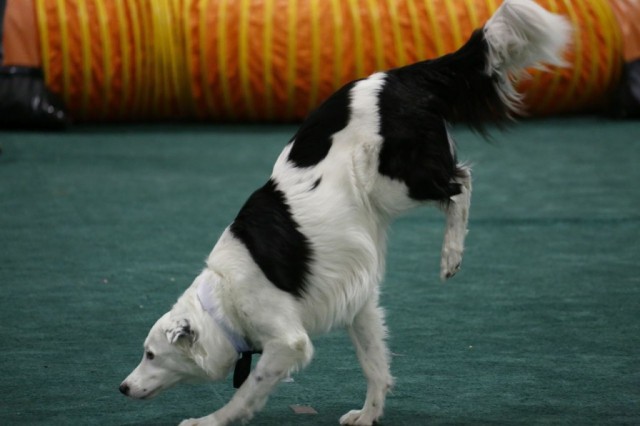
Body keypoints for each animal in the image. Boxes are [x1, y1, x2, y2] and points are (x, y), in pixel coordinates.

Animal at [120, 1, 568, 424]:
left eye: (150, 354)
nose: (122, 388)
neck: (225, 297)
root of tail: (399, 76)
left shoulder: (288, 340)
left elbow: (246, 393)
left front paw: (207, 421)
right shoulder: (360, 302)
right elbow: (374, 363)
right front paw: (369, 414)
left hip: (393, 180)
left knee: (461, 183)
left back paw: (450, 256)